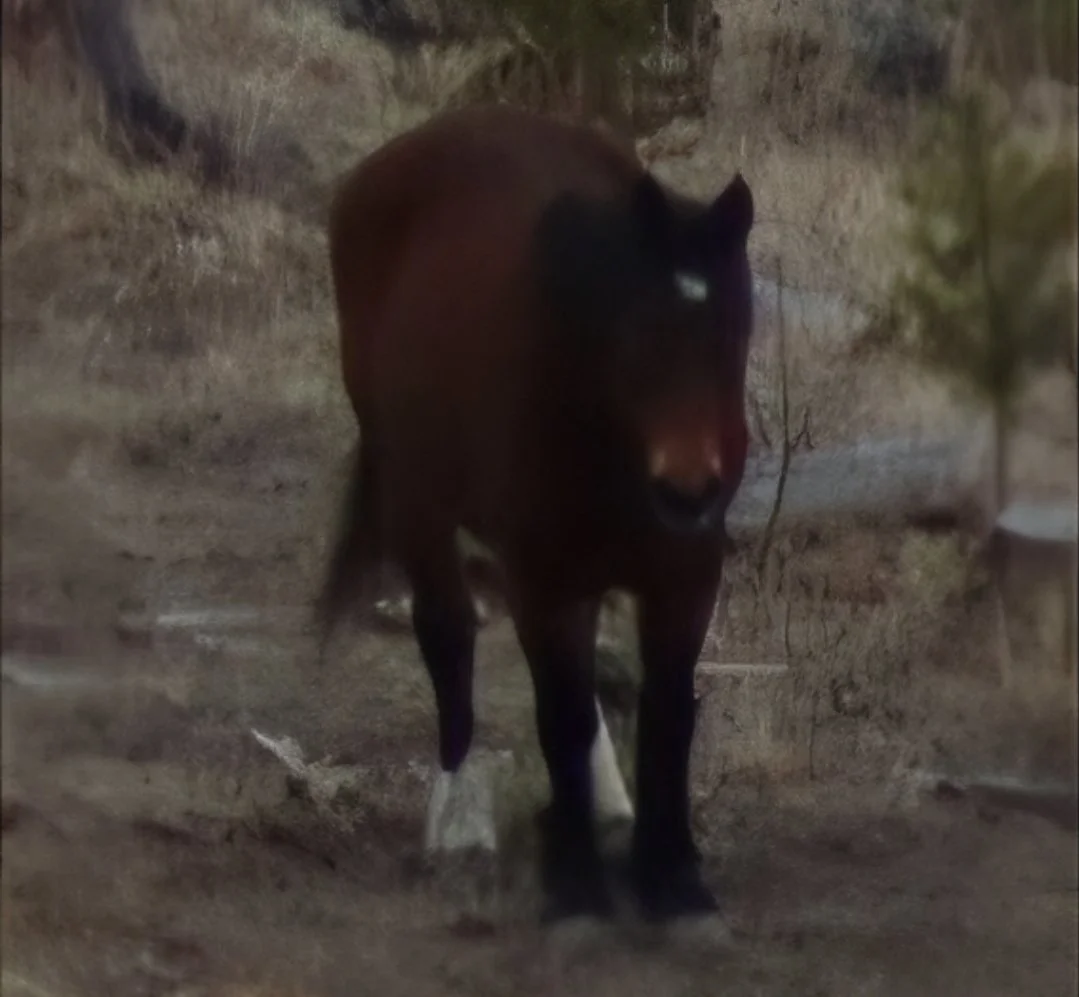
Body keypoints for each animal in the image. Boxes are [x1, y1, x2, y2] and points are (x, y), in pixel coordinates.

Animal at [318, 104, 755, 925]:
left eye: (733, 332)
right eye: (638, 332)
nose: (687, 489)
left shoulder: (684, 572)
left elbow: (667, 711)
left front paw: (673, 880)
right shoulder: (544, 580)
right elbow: (561, 716)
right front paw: (577, 890)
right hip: (417, 494)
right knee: (448, 631)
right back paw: (459, 821)